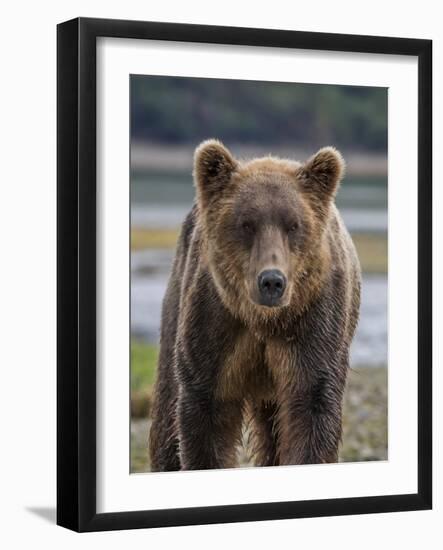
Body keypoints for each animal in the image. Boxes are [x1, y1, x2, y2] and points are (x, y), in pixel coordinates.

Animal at [149, 140, 360, 472]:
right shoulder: (215, 323)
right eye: (246, 224)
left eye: (293, 225)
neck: (263, 319)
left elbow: (311, 406)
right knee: (167, 409)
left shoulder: (314, 323)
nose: (271, 281)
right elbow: (205, 411)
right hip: (176, 300)